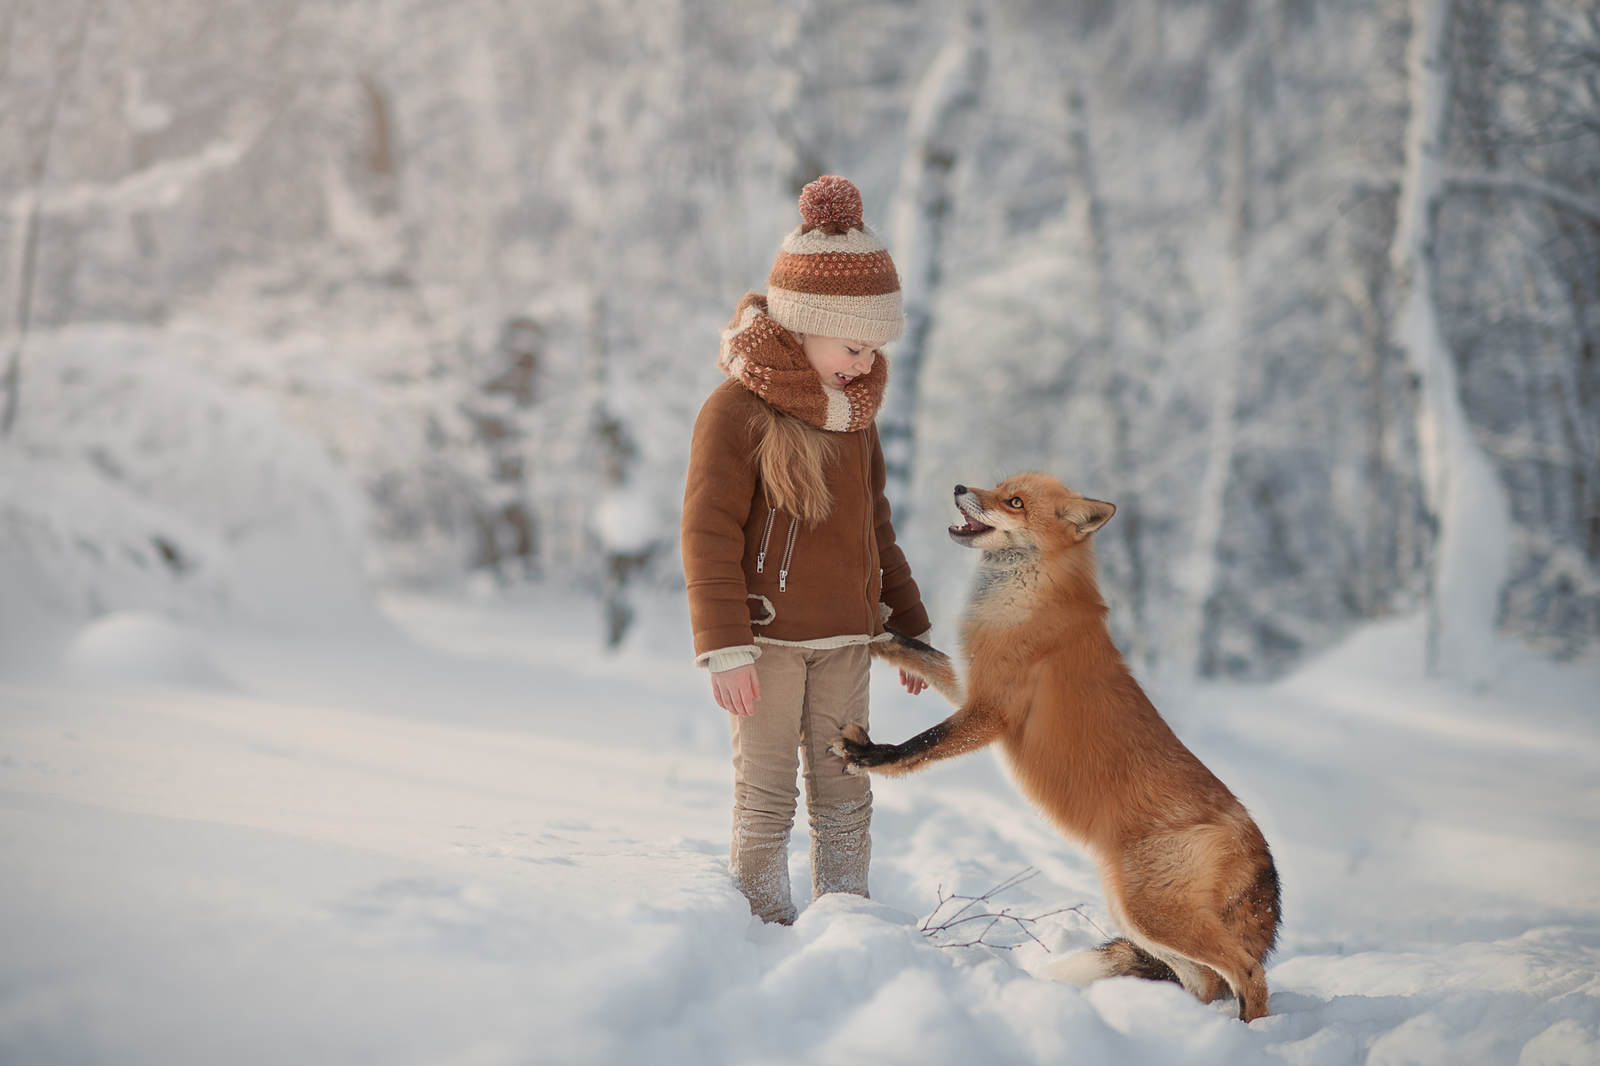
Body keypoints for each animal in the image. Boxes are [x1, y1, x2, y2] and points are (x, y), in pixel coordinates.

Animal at [832, 473, 1280, 1024]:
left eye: (1014, 503)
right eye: (999, 486)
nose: (959, 486)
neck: (1029, 595)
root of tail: (1251, 837)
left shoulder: (992, 713)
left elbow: (920, 744)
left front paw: (869, 756)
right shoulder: (973, 686)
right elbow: (914, 649)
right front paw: (875, 628)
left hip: (1150, 913)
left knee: (1248, 972)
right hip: (1134, 912)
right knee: (1204, 980)